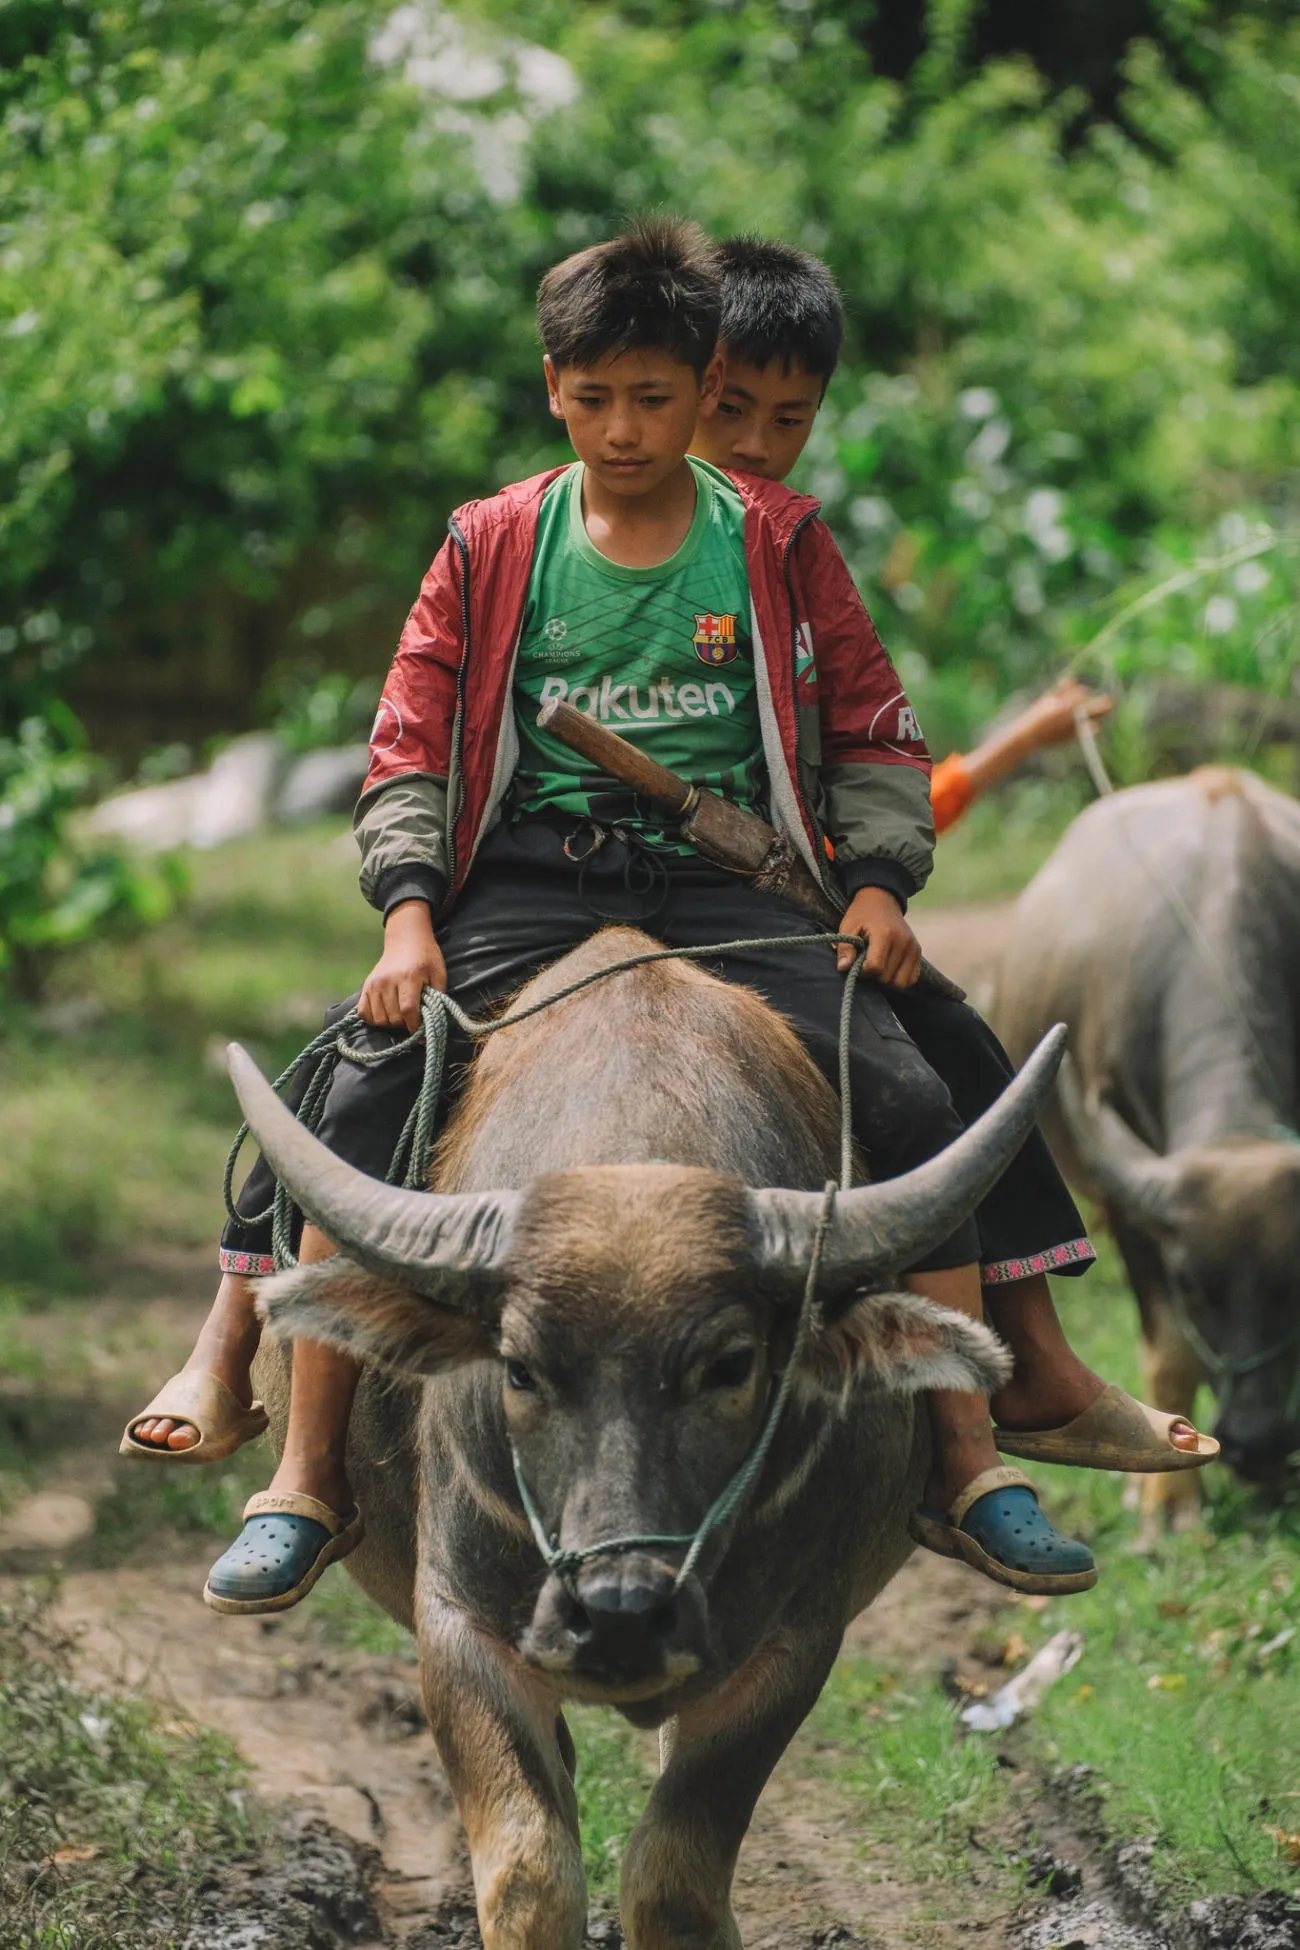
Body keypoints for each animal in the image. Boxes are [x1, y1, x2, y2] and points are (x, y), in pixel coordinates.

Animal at [238, 928, 1060, 1950]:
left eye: (732, 1364)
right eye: (519, 1369)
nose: (620, 1612)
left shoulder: (796, 1640)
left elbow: (675, 1878)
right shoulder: (456, 1622)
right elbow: (530, 1873)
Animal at [990, 764, 1300, 1505]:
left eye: (1296, 1278)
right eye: (1192, 1284)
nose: (1257, 1443)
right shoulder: (1133, 1212)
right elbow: (1172, 1351)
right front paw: (1168, 1505)